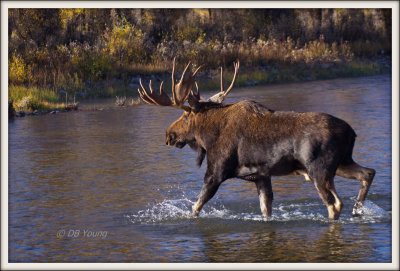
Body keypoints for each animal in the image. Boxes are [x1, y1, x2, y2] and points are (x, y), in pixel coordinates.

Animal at [138, 59, 376, 221]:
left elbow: (196, 206)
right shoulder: (261, 176)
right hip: (342, 162)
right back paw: (358, 210)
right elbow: (265, 210)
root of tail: (351, 132)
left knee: (335, 204)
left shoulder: (216, 171)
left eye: (185, 116)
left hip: (319, 169)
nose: (169, 135)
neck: (208, 136)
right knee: (367, 173)